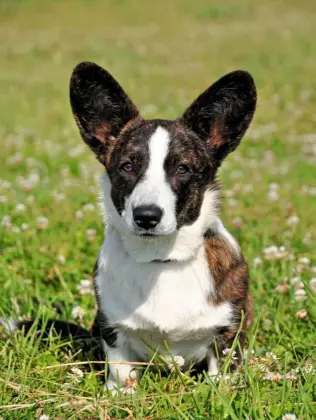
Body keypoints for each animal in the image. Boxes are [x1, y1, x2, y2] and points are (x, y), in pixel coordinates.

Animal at [2, 62, 256, 394]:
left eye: (182, 168)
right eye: (128, 166)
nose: (146, 216)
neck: (160, 260)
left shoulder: (226, 334)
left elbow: (221, 376)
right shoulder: (113, 330)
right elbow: (121, 372)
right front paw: (120, 394)